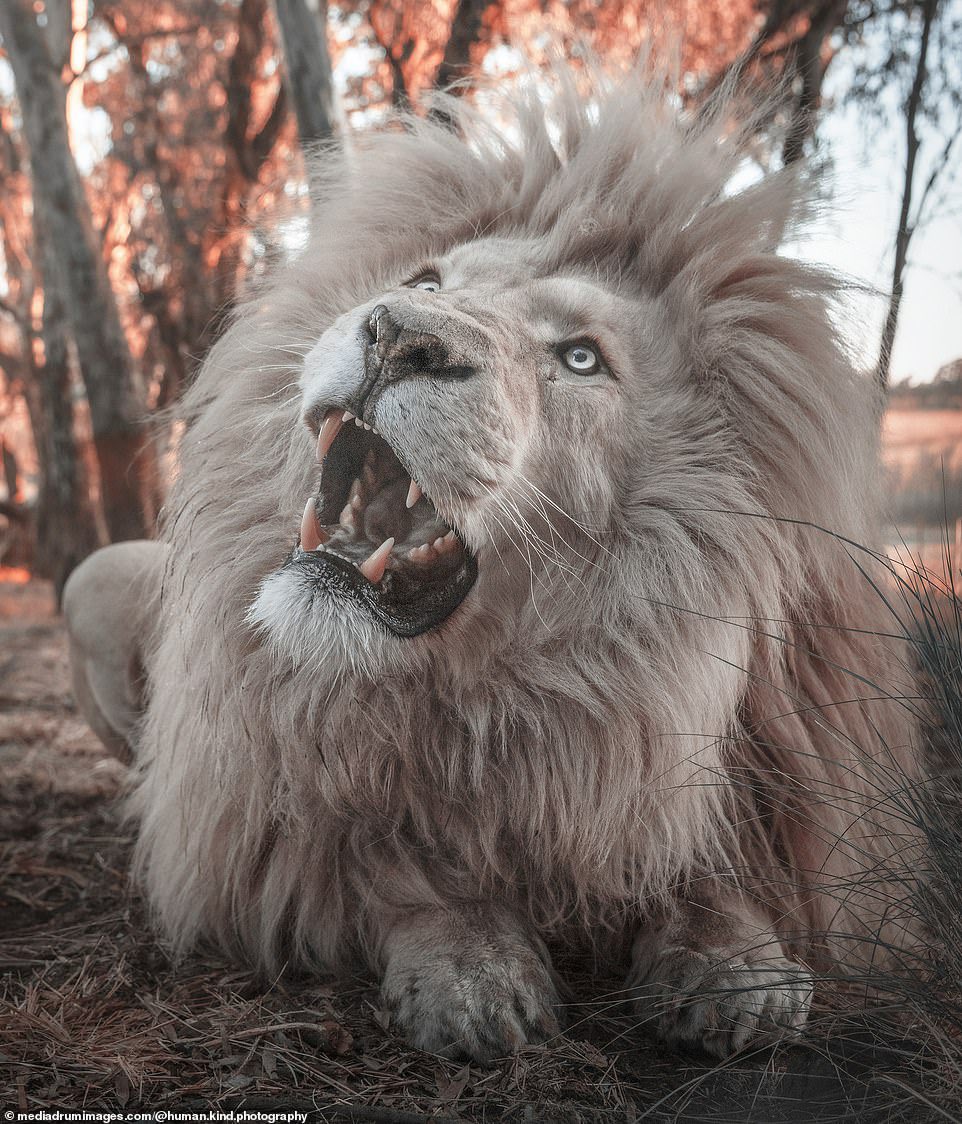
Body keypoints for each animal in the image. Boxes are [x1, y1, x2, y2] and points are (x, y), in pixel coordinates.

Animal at [64, 68, 928, 1062]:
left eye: (582, 358)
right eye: (425, 281)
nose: (397, 334)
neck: (513, 701)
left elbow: (719, 865)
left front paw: (738, 969)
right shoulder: (274, 819)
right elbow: (391, 863)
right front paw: (472, 973)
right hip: (96, 580)